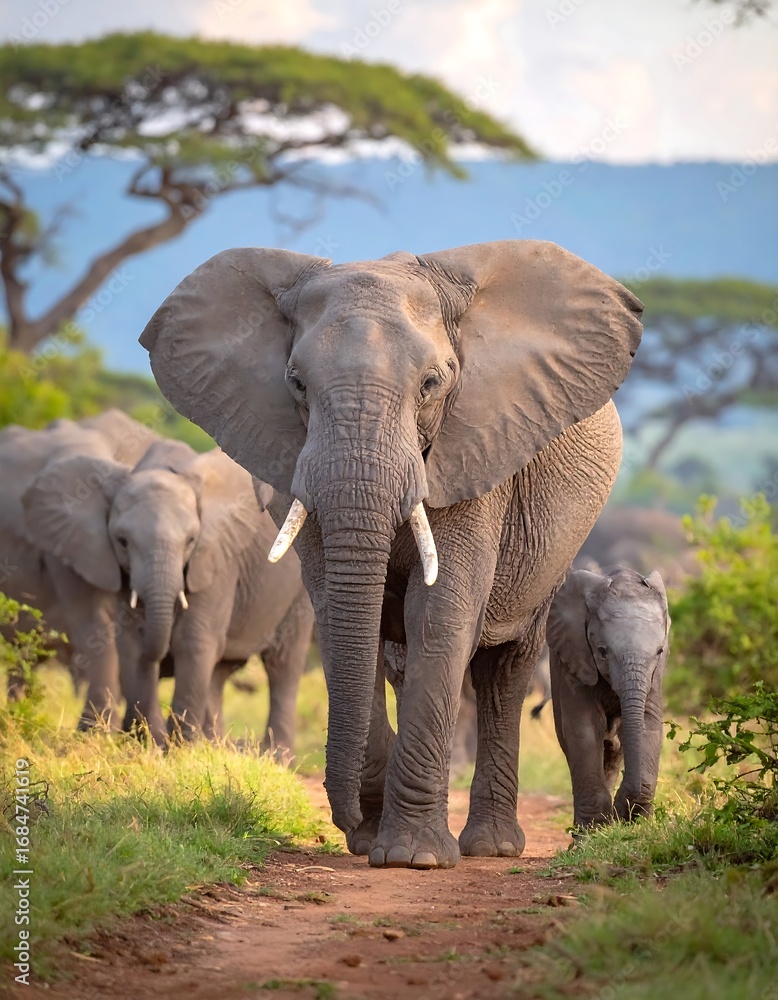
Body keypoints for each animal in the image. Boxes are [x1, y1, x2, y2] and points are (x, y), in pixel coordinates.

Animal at [23, 436, 315, 750]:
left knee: (282, 665)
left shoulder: (216, 561)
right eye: (122, 541)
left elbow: (193, 641)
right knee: (220, 671)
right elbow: (130, 643)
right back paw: (214, 745)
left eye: (191, 541)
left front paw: (179, 748)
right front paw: (151, 744)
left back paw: (275, 756)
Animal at [140, 239, 643, 869]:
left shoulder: (475, 449)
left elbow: (440, 616)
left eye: (431, 383)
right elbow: (342, 619)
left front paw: (412, 857)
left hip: (555, 545)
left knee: (506, 666)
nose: (348, 820)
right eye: (296, 383)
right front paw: (371, 838)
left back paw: (491, 847)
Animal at [546, 566, 669, 828]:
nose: (620, 814)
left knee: (613, 754)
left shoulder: (656, 675)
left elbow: (648, 724)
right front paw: (593, 832)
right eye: (602, 651)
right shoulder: (574, 660)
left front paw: (634, 823)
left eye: (659, 651)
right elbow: (584, 729)